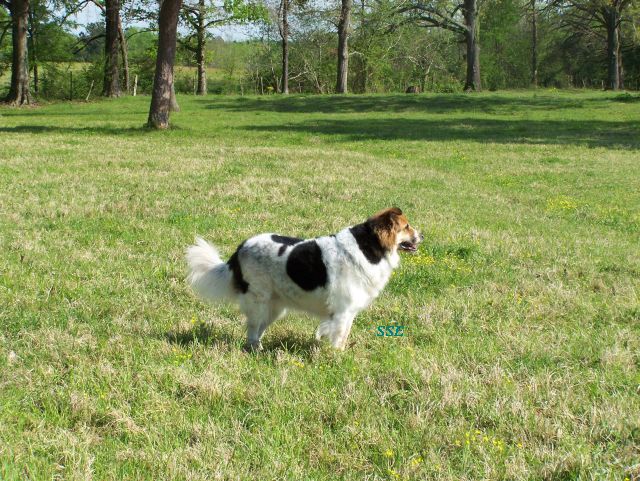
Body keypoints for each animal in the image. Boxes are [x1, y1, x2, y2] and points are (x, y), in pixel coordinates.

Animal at [188, 206, 422, 348]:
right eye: (407, 227)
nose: (422, 235)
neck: (369, 246)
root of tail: (240, 249)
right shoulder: (342, 311)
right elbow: (338, 338)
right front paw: (337, 360)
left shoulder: (349, 312)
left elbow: (344, 336)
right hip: (258, 301)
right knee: (252, 330)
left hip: (274, 307)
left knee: (257, 330)